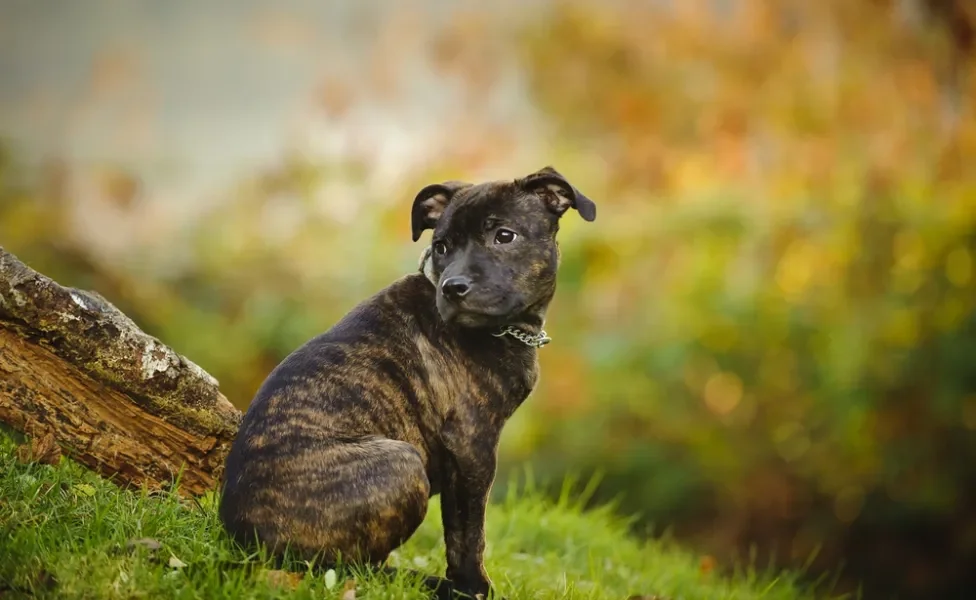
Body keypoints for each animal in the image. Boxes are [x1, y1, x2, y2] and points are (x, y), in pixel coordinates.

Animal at [219, 166, 596, 596]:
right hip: (402, 462)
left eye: (505, 236)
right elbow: (468, 531)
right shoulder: (471, 444)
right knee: (348, 568)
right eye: (442, 246)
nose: (453, 287)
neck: (507, 329)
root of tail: (241, 538)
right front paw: (474, 587)